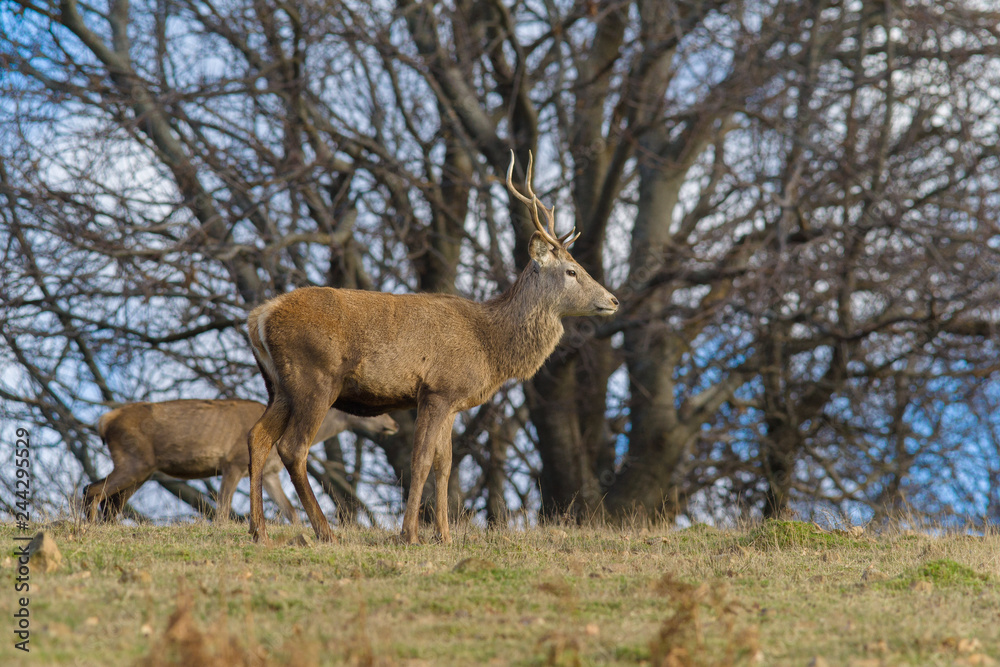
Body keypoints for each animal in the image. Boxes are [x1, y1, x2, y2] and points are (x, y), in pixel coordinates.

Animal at [85, 400, 398, 524]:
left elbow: (290, 511)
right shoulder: (233, 462)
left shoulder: (270, 473)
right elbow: (223, 509)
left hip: (142, 470)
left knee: (111, 500)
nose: (393, 424)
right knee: (94, 490)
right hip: (135, 460)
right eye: (371, 411)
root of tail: (104, 421)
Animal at [243, 153, 616, 548]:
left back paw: (259, 530)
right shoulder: (438, 389)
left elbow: (445, 465)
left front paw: (445, 535)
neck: (490, 345)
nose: (613, 300)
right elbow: (420, 461)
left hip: (279, 386)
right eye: (572, 271)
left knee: (258, 437)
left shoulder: (452, 401)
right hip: (315, 377)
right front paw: (409, 534)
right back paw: (325, 530)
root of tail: (259, 316)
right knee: (293, 447)